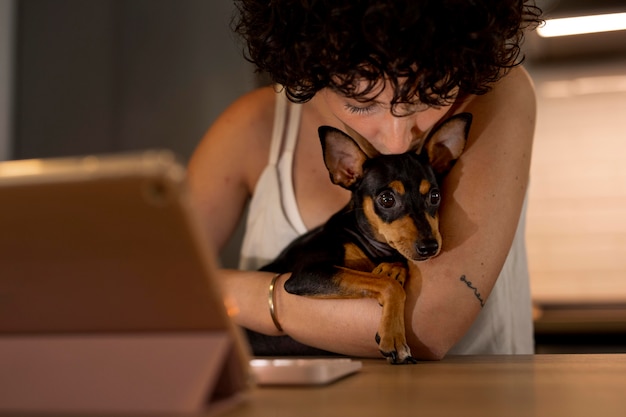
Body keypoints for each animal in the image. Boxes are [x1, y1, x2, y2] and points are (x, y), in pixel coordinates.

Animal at [251, 112, 470, 362]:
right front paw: (394, 337)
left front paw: (393, 268)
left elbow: (390, 272)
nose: (430, 247)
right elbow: (390, 286)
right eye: (387, 200)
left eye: (435, 196)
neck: (370, 244)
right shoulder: (306, 274)